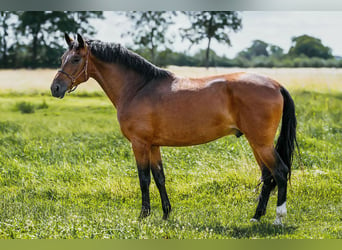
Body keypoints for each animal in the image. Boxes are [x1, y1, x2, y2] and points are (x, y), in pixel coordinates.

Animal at [50, 33, 296, 225]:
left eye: (75, 59)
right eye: (62, 58)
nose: (55, 88)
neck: (138, 88)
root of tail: (276, 84)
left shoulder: (140, 144)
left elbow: (144, 179)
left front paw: (143, 215)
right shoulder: (153, 145)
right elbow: (159, 177)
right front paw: (166, 214)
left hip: (261, 143)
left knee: (280, 172)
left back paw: (278, 218)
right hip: (255, 143)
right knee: (267, 176)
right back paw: (256, 217)